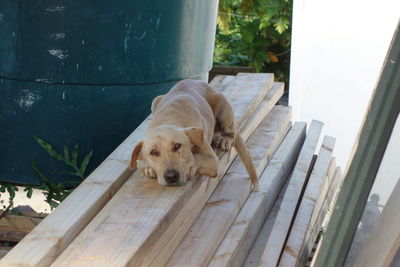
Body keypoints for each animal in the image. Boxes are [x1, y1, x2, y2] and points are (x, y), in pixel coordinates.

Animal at [129, 78, 260, 192]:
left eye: (177, 146)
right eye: (153, 152)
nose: (171, 176)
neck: (169, 120)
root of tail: (196, 81)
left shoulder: (212, 160)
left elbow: (196, 158)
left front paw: (190, 167)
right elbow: (142, 163)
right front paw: (149, 167)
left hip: (223, 104)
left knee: (232, 131)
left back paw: (226, 139)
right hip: (156, 99)